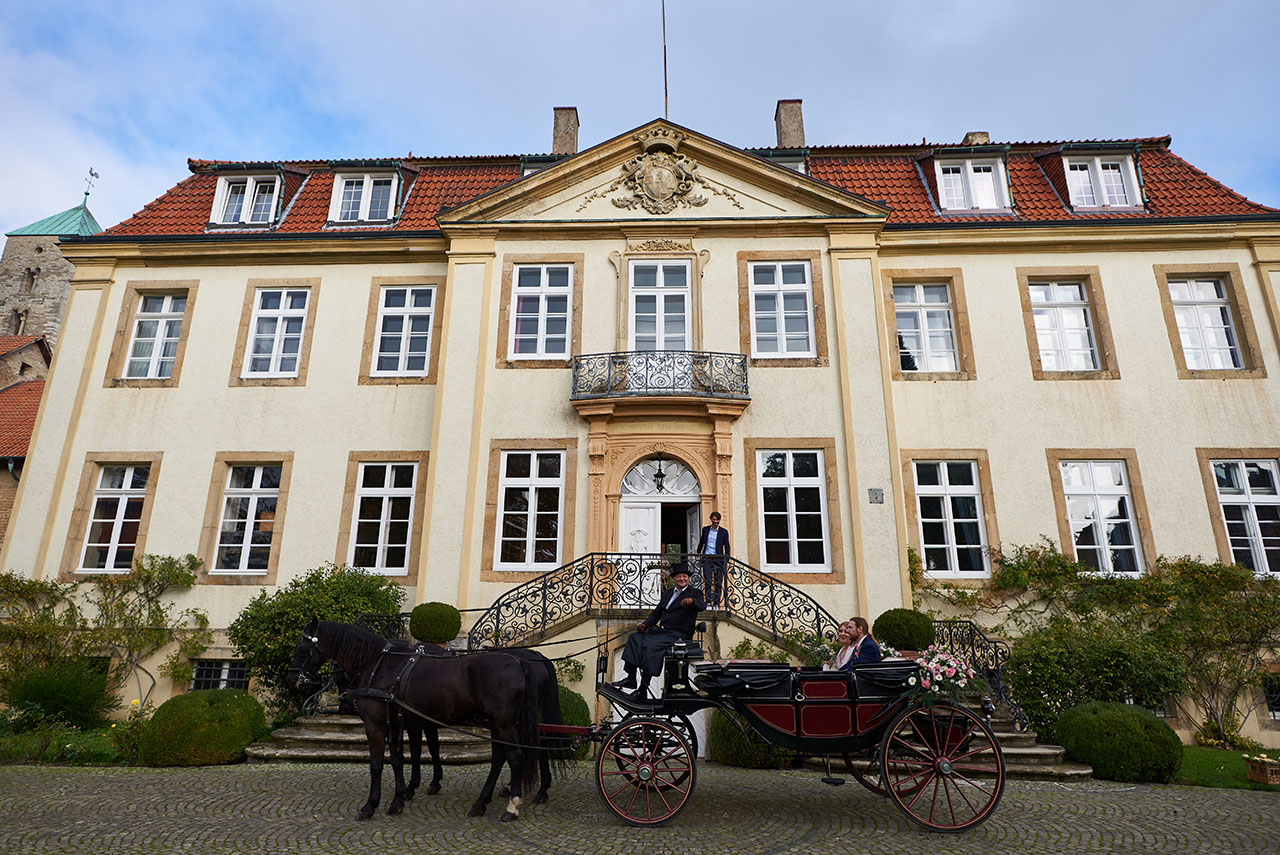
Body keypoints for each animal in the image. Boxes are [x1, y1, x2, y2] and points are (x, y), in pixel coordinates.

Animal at [288, 622, 542, 819]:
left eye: (302, 647)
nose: (293, 678)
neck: (378, 665)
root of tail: (518, 662)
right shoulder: (397, 722)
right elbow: (399, 759)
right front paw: (399, 799)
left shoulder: (376, 724)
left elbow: (377, 764)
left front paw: (371, 806)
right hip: (498, 724)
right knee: (500, 758)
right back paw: (481, 804)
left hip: (502, 724)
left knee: (515, 757)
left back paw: (511, 807)